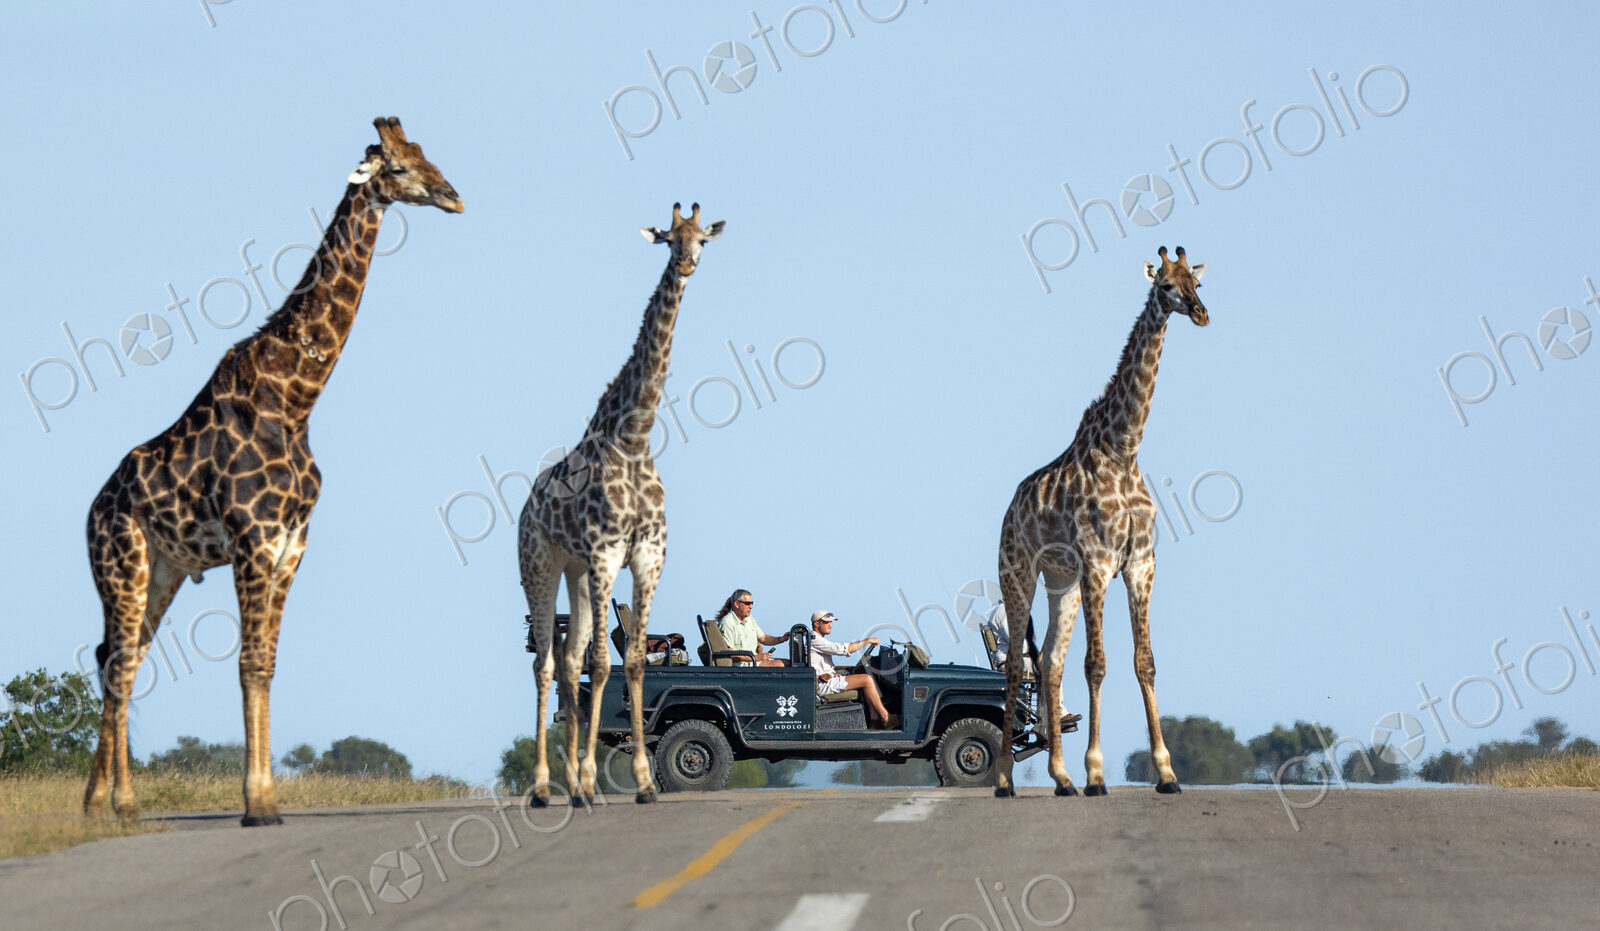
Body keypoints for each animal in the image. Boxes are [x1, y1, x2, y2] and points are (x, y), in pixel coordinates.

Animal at [83, 117, 463, 826]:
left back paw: (105, 802)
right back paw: (115, 804)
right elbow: (248, 662)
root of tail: (92, 508)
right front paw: (256, 804)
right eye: (398, 167)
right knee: (118, 664)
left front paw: (267, 799)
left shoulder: (292, 544)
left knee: (123, 658)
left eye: (427, 153)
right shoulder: (254, 539)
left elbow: (268, 664)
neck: (296, 401)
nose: (453, 197)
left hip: (164, 570)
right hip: (123, 564)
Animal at [518, 203, 723, 807]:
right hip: (541, 564)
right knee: (544, 663)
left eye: (703, 238)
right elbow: (604, 662)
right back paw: (545, 787)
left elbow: (630, 660)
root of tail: (526, 505)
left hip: (576, 570)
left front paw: (643, 783)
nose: (686, 262)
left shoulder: (648, 556)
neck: (632, 438)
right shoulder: (608, 554)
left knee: (567, 661)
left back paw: (574, 785)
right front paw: (596, 778)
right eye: (668, 237)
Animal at [994, 246, 1209, 798]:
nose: (1202, 314)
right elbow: (1098, 664)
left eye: (1196, 283)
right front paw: (1096, 773)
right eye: (1166, 287)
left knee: (1049, 662)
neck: (1124, 448)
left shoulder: (1139, 564)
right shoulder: (1097, 561)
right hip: (1018, 575)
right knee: (1015, 665)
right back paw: (1005, 778)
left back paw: (1061, 777)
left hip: (1061, 583)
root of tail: (1009, 509)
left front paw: (1166, 773)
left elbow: (1143, 662)